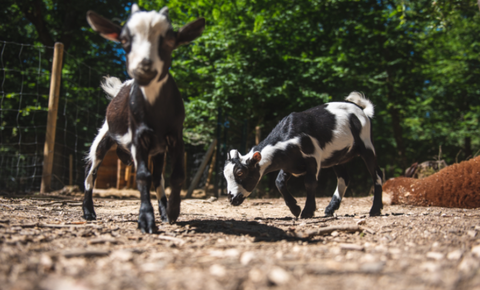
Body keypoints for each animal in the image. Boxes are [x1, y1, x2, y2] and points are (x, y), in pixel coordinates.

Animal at [83, 4, 206, 232]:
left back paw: (164, 211)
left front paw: (172, 212)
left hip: (157, 150)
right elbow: (142, 176)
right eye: (124, 40)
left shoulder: (175, 136)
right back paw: (88, 212)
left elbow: (176, 175)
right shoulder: (138, 137)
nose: (144, 67)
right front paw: (146, 220)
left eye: (169, 40)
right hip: (103, 138)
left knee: (158, 178)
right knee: (91, 171)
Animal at [223, 92, 384, 218]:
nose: (232, 198)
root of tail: (364, 112)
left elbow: (310, 182)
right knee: (344, 178)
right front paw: (295, 209)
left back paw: (375, 210)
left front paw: (307, 211)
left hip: (366, 144)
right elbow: (279, 182)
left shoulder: (312, 157)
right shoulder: (289, 163)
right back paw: (330, 209)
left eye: (240, 173)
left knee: (377, 174)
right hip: (338, 157)